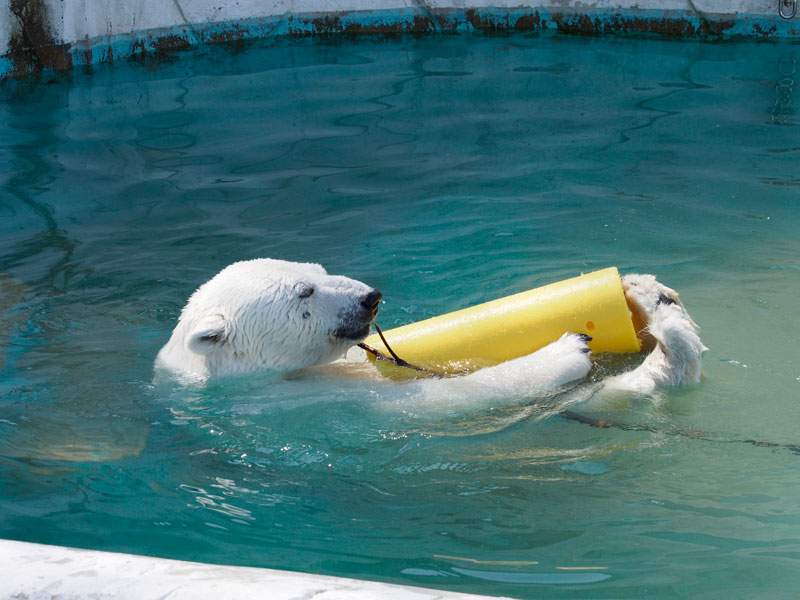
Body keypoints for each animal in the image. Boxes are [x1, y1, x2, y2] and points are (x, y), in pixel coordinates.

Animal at [156, 258, 708, 398]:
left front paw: (642, 293)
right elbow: (436, 401)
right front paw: (568, 347)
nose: (370, 297)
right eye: (305, 292)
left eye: (315, 268)